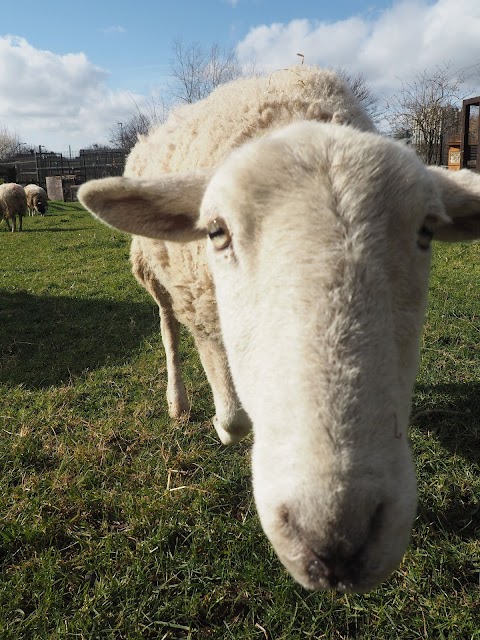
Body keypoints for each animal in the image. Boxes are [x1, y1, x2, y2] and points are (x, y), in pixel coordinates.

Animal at [78, 66, 480, 596]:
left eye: (427, 231)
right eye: (216, 231)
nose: (337, 539)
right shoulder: (204, 312)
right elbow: (233, 419)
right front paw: (223, 424)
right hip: (153, 272)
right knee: (167, 327)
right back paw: (178, 401)